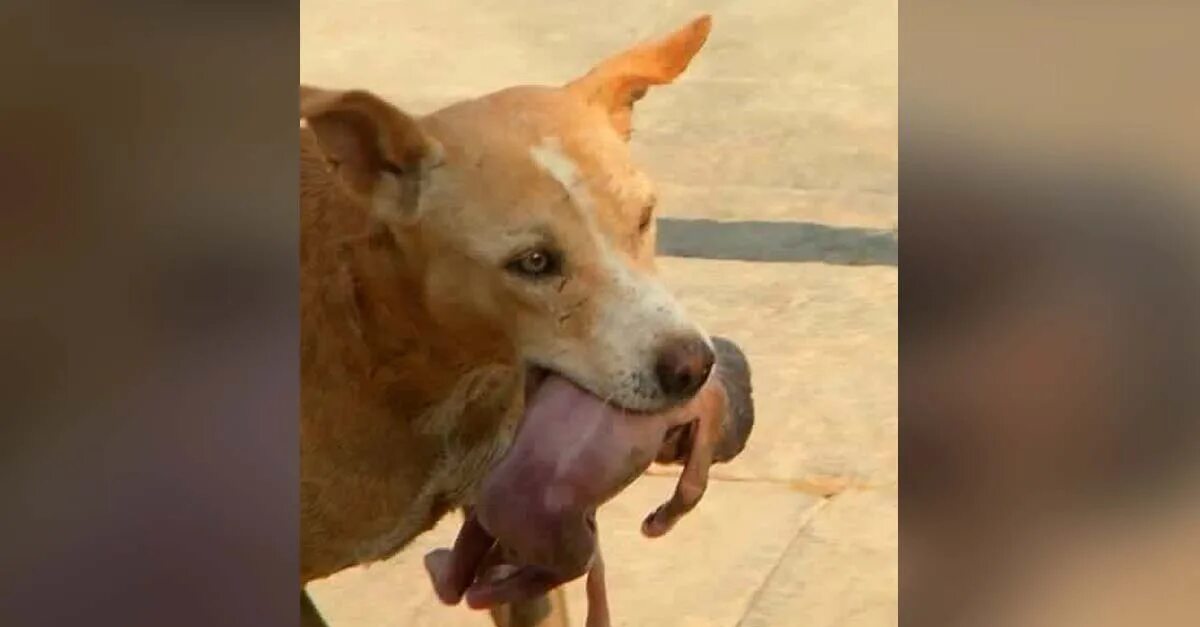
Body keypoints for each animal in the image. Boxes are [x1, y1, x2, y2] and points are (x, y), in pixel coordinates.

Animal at [427, 338, 753, 619]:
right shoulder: (707, 402)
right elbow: (694, 482)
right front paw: (660, 521)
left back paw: (470, 577)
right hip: (556, 539)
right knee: (571, 564)